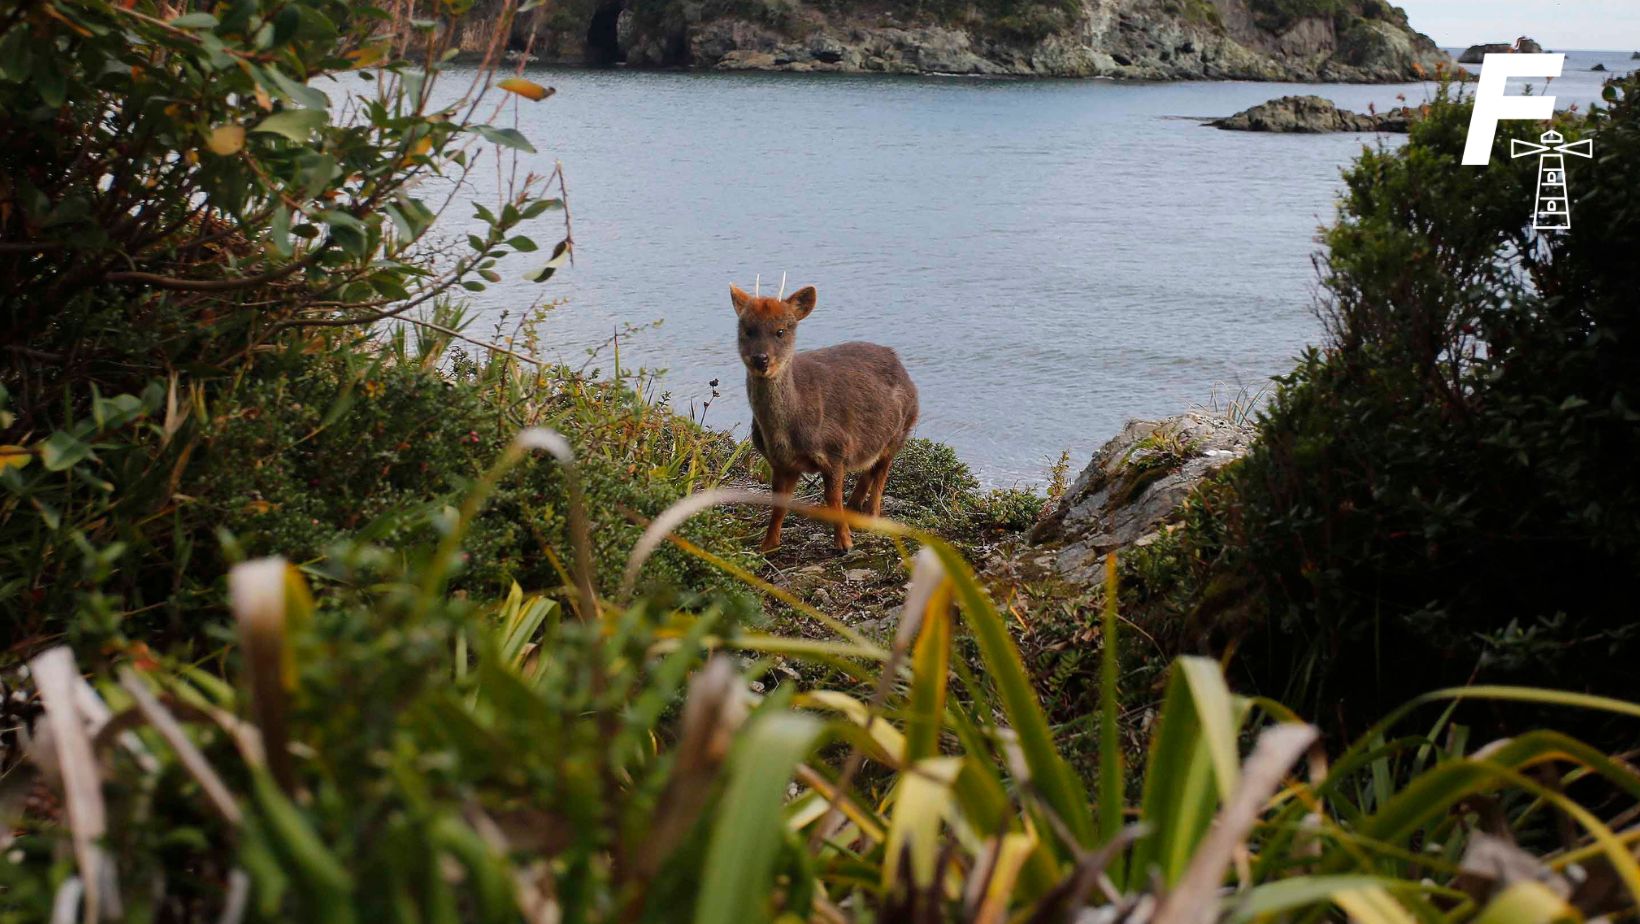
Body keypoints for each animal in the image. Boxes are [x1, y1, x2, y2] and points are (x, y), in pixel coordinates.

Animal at [734, 285, 924, 554]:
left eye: (780, 331)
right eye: (747, 329)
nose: (761, 359)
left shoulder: (836, 448)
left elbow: (832, 499)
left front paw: (844, 543)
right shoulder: (780, 462)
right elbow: (779, 504)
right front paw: (767, 545)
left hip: (902, 427)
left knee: (882, 470)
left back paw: (872, 516)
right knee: (870, 466)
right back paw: (856, 509)